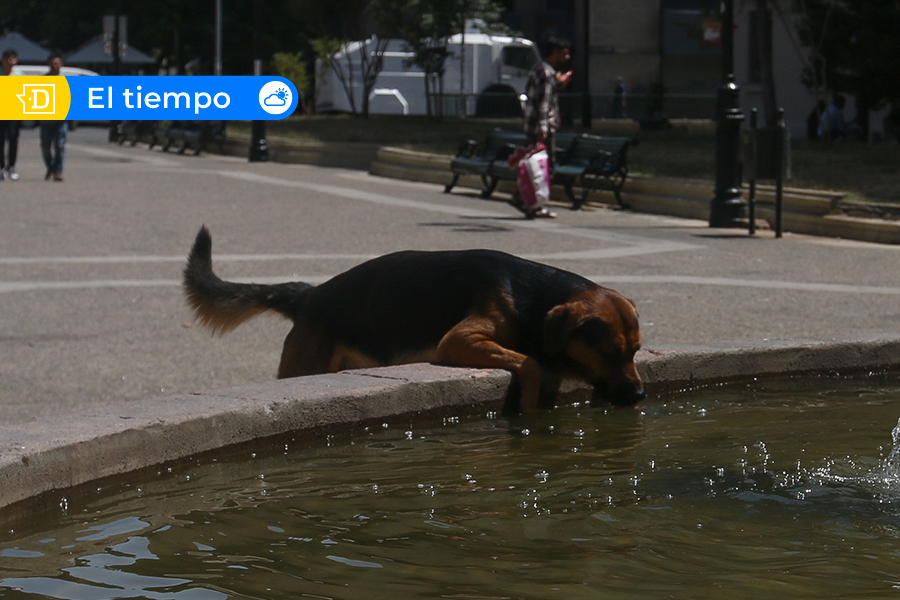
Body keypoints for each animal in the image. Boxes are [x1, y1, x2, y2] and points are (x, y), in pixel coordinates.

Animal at [185, 226, 648, 412]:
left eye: (636, 351)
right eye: (610, 352)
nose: (641, 396)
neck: (531, 295)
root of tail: (311, 294)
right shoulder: (458, 342)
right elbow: (531, 363)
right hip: (303, 368)